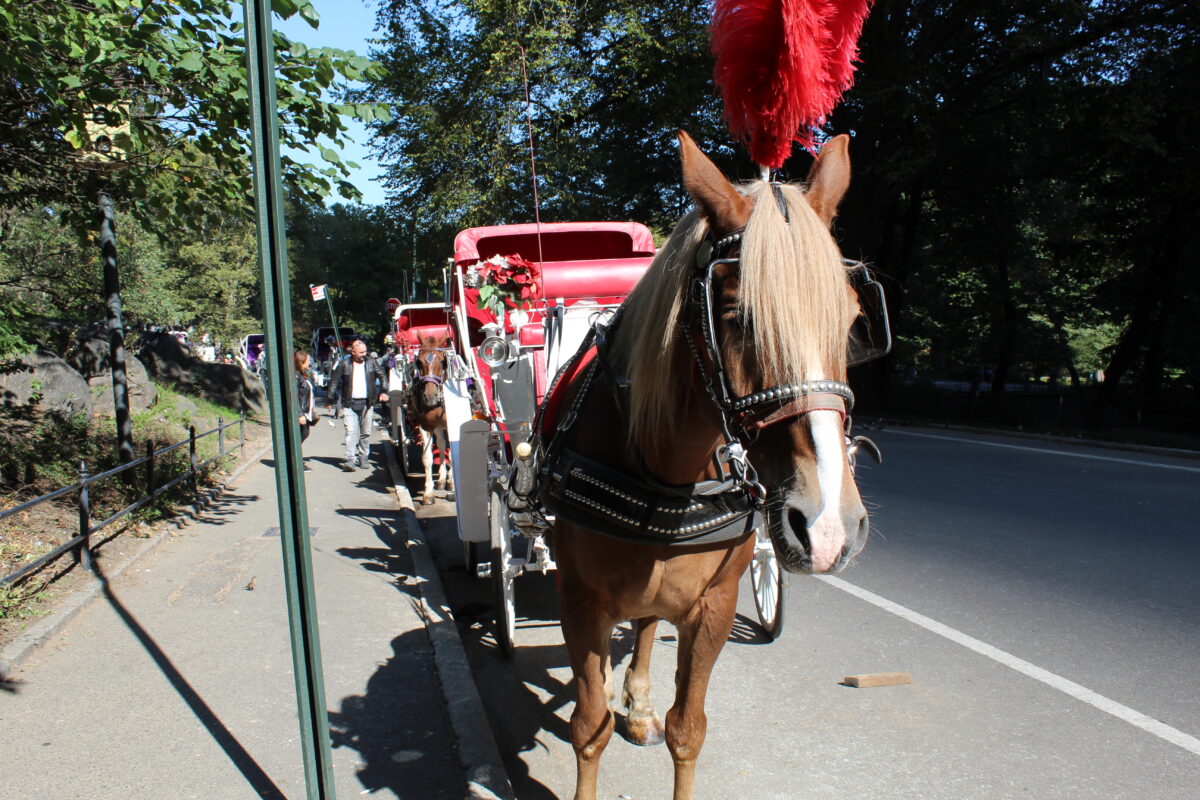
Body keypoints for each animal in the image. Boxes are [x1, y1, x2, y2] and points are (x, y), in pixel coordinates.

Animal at [408, 335, 453, 503]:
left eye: (442, 361)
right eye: (419, 362)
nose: (430, 396)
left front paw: (453, 484)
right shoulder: (425, 426)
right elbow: (427, 458)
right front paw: (428, 493)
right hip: (438, 426)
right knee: (441, 444)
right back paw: (441, 479)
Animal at [549, 133, 868, 800]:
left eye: (853, 321)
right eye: (739, 317)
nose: (829, 526)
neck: (666, 472)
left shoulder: (715, 606)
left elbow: (687, 729)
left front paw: (649, 709)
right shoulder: (580, 600)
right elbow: (587, 727)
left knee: (646, 626)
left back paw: (638, 702)